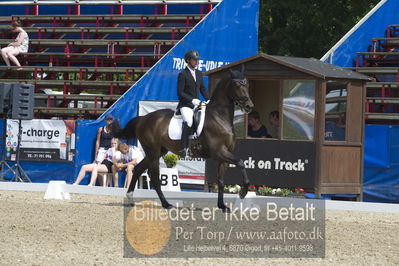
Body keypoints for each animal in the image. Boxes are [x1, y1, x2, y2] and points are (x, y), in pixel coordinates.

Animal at [111, 67, 255, 213]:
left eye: (247, 85)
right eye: (237, 85)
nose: (249, 106)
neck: (219, 117)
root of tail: (143, 119)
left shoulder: (224, 155)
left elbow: (221, 181)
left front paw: (223, 206)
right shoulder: (218, 152)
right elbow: (240, 162)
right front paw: (243, 192)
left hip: (158, 152)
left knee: (138, 169)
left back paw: (130, 199)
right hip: (153, 153)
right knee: (155, 179)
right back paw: (166, 204)